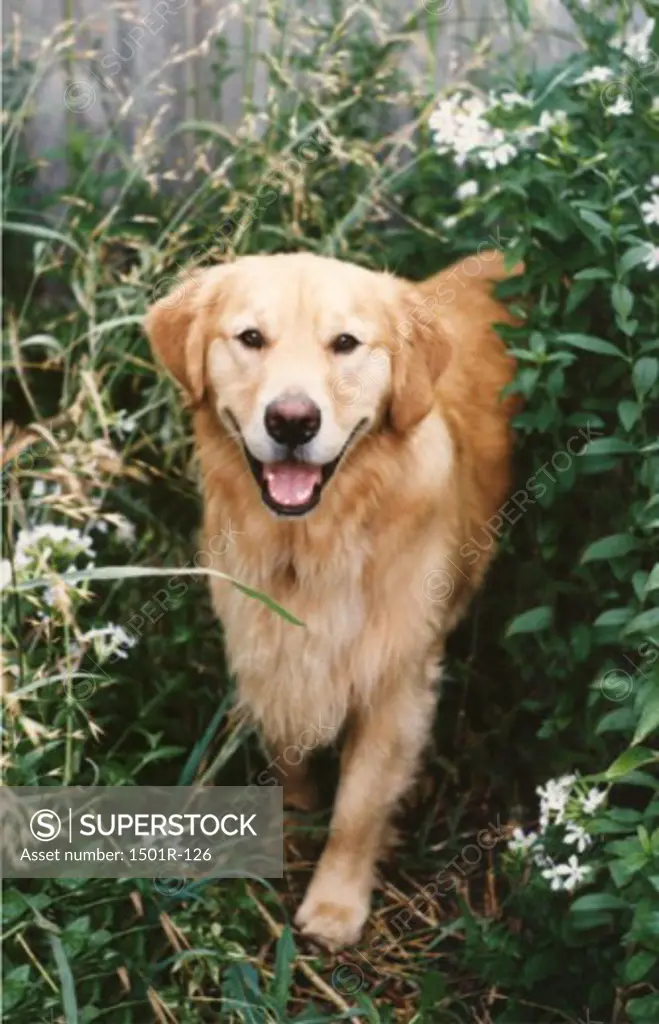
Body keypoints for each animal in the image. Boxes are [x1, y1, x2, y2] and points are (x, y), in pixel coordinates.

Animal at [144, 249, 519, 950]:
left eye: (345, 343)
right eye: (251, 338)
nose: (292, 421)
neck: (312, 546)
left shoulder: (397, 680)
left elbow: (359, 808)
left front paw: (336, 906)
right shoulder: (266, 645)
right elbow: (289, 751)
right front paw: (295, 813)